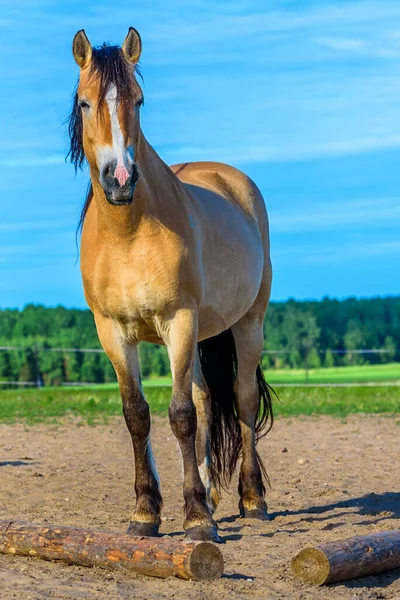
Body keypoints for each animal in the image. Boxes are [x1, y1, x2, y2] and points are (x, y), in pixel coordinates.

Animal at [69, 28, 276, 544]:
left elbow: (180, 415)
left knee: (241, 400)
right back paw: (211, 493)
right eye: (84, 102)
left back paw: (251, 500)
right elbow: (137, 414)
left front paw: (196, 519)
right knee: (207, 400)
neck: (127, 233)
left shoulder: (178, 321)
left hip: (248, 323)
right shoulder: (112, 332)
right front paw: (147, 512)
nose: (121, 179)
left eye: (139, 100)